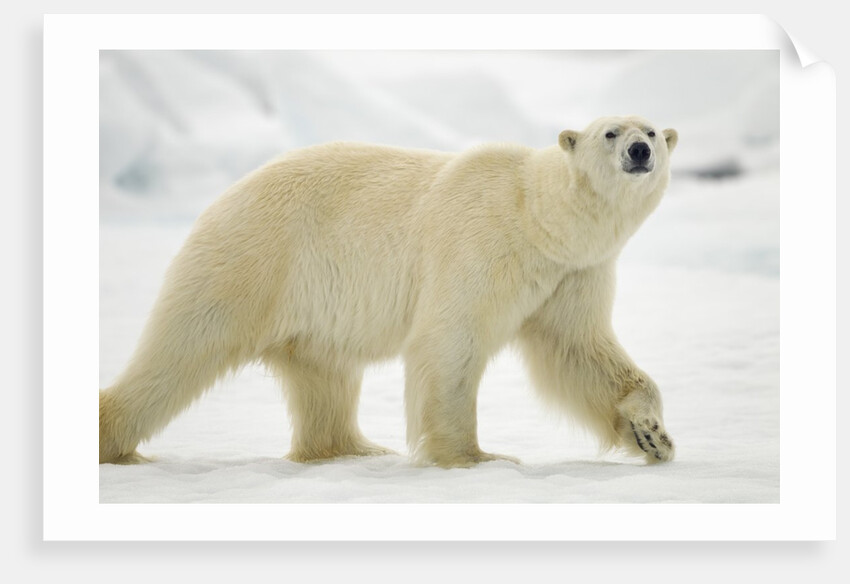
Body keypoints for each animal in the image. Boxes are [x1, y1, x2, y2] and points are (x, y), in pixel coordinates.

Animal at [100, 115, 678, 468]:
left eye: (652, 129)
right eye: (610, 132)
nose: (640, 149)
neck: (536, 217)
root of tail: (225, 195)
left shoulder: (571, 273)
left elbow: (580, 350)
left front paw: (653, 435)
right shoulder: (479, 243)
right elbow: (450, 341)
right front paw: (475, 456)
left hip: (310, 302)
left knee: (323, 374)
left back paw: (352, 449)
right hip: (253, 258)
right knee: (184, 347)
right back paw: (117, 442)